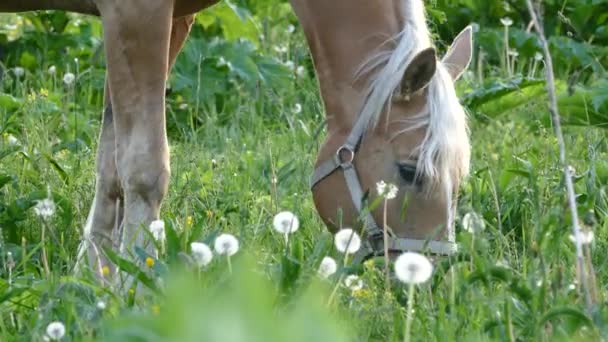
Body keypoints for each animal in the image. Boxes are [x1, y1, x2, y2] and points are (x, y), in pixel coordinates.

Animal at [0, 0, 472, 276]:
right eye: (409, 171)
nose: (429, 276)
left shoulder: (171, 18)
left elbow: (111, 165)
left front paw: (95, 280)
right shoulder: (136, 13)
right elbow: (143, 168)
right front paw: (132, 284)